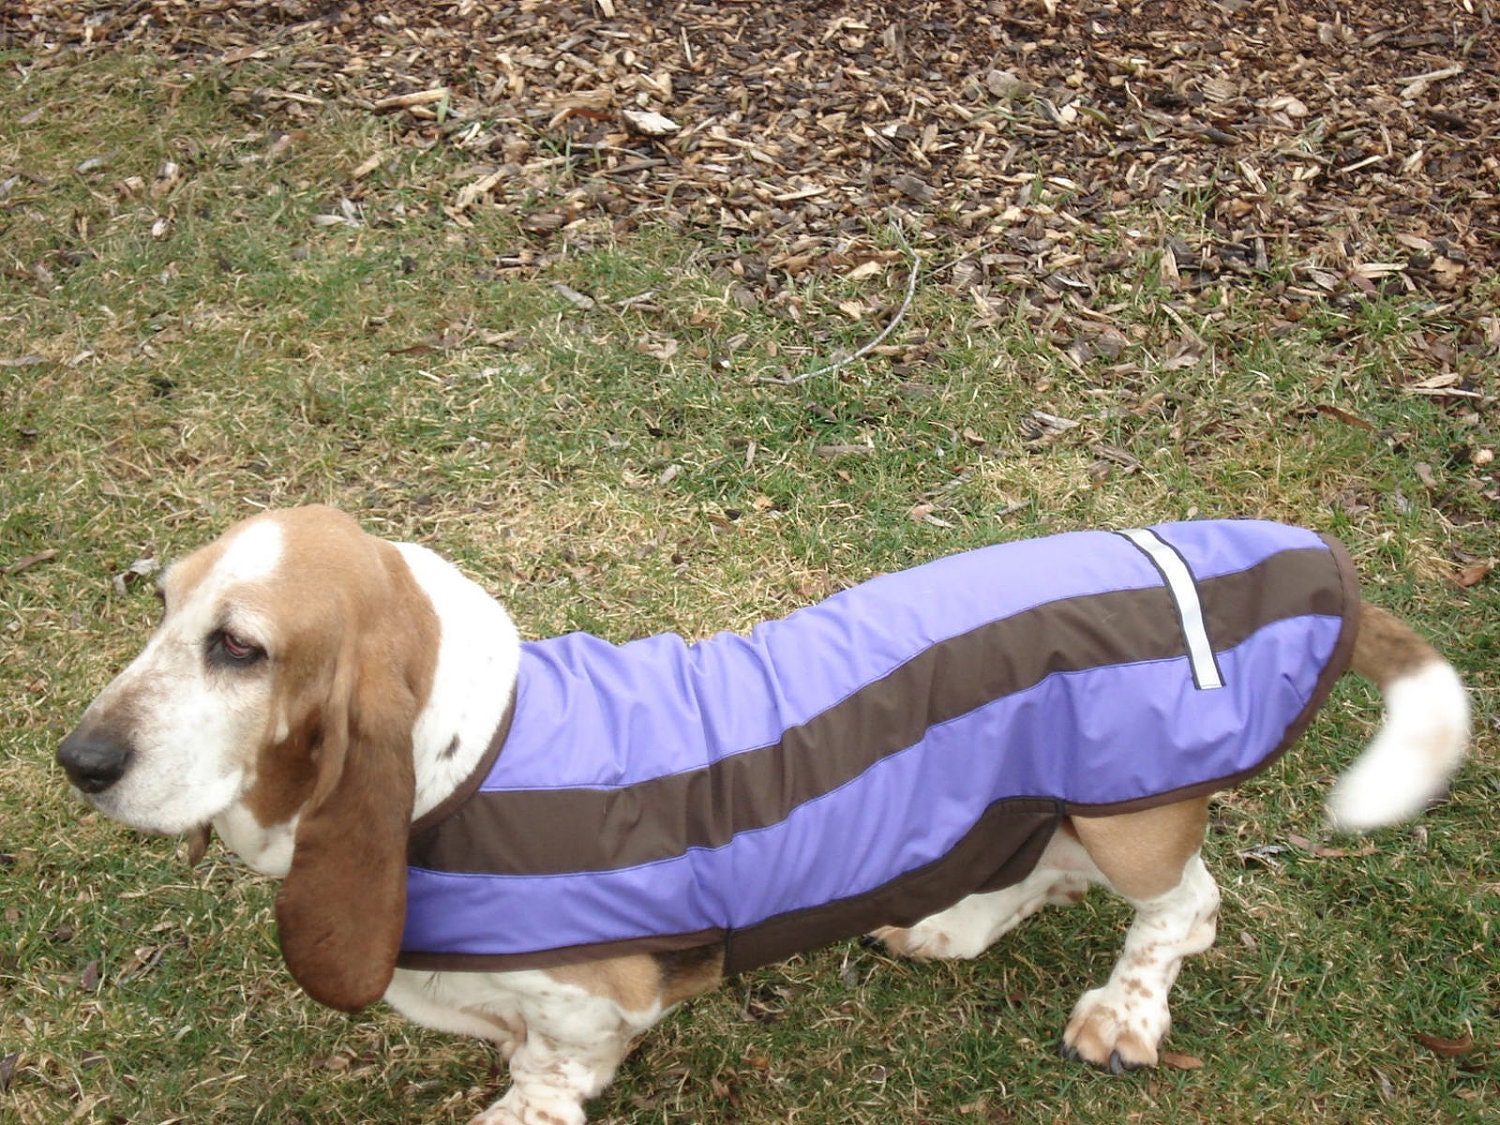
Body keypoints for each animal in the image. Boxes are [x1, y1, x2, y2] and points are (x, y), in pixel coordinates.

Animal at [58, 510, 1464, 1125]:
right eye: (162, 604)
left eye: (241, 649)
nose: (78, 758)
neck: (472, 764)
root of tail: (1297, 561)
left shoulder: (599, 1006)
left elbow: (551, 1076)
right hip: (1049, 802)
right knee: (1050, 871)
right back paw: (949, 929)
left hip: (1135, 814)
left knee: (1189, 908)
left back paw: (1125, 1015)